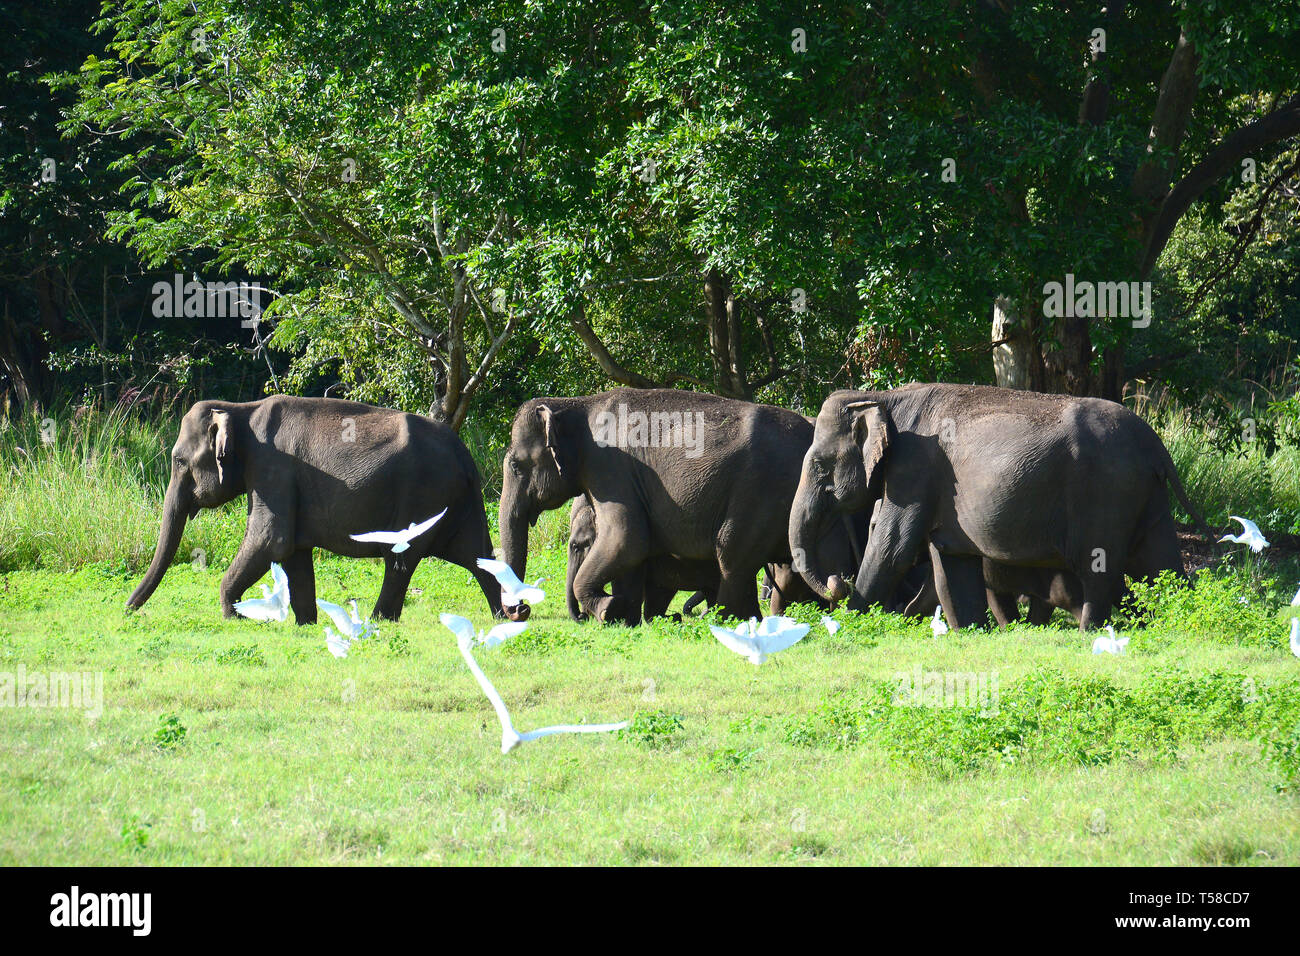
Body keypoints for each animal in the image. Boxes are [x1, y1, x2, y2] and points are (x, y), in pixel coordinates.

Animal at [126, 395, 505, 623]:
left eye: (178, 461)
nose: (128, 612)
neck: (240, 408)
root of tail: (464, 453)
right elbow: (293, 550)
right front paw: (305, 623)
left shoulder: (271, 469)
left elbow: (271, 540)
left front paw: (235, 616)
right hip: (457, 500)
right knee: (476, 555)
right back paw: (506, 616)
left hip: (424, 494)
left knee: (402, 558)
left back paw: (378, 621)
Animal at [500, 388, 862, 624]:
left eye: (516, 465)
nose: (520, 610)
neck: (577, 404)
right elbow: (631, 549)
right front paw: (623, 619)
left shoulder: (610, 469)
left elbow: (627, 538)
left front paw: (606, 610)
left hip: (760, 492)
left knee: (732, 554)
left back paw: (729, 622)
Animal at [789, 383, 1207, 630]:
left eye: (820, 465)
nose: (837, 582)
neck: (882, 396)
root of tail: (1155, 444)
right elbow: (950, 558)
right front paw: (971, 632)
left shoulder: (913, 469)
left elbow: (892, 550)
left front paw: (850, 624)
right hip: (1147, 497)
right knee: (1161, 564)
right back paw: (1179, 624)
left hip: (1106, 493)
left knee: (1099, 569)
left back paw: (1091, 633)